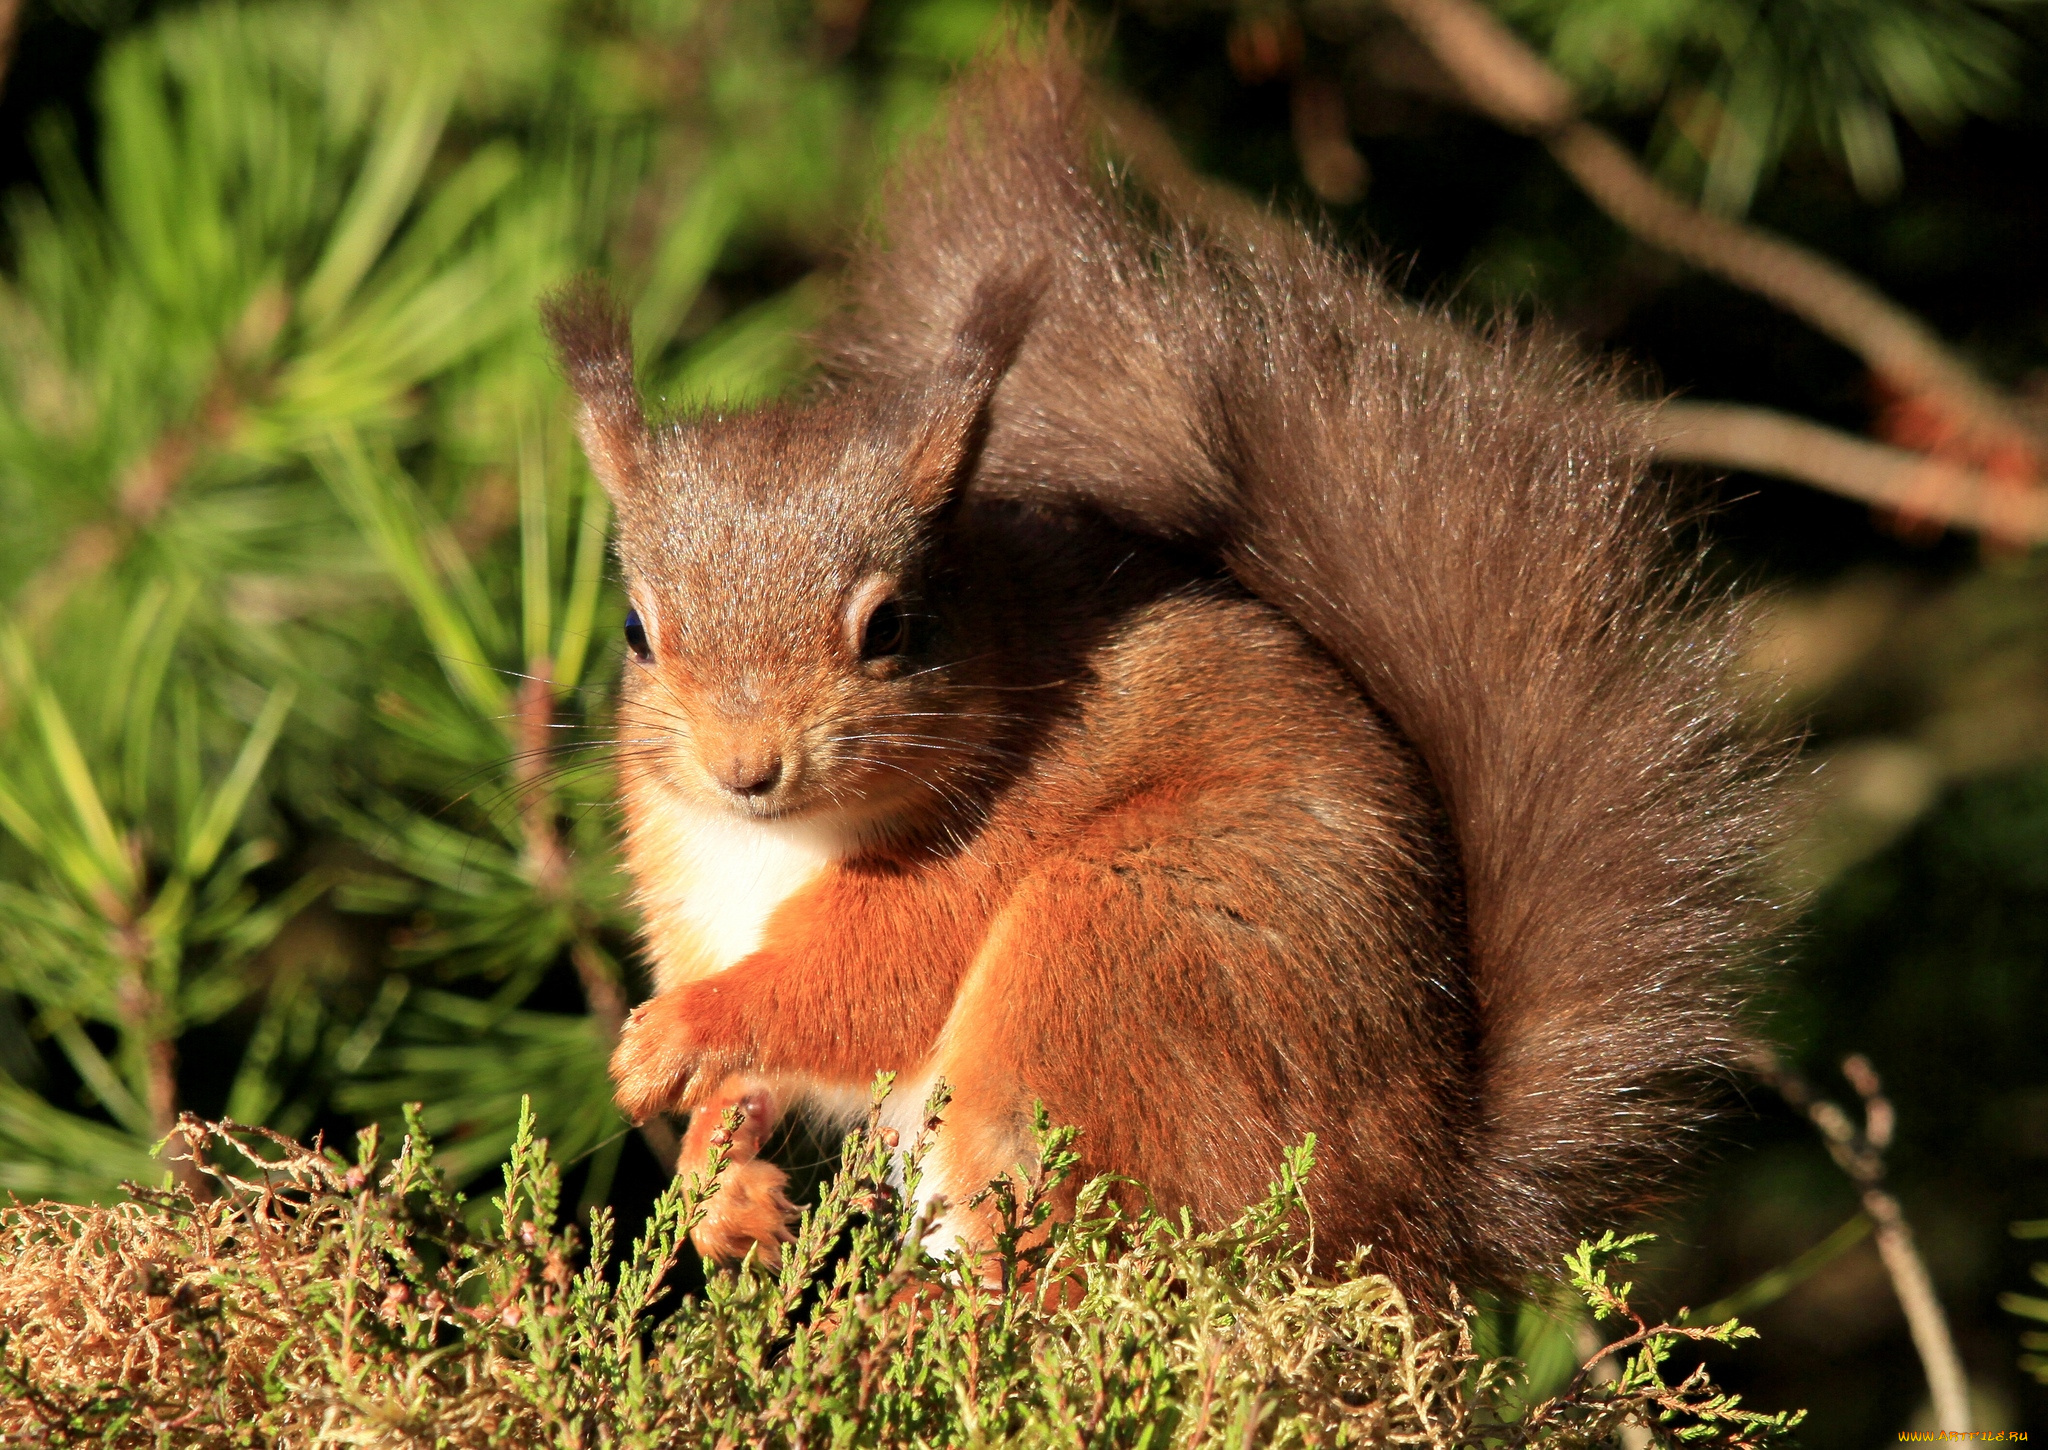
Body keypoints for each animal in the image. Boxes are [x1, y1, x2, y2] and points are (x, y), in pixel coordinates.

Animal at [540, 42, 1777, 1294]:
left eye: (892, 628)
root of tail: (1423, 1197)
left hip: (1122, 958)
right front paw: (719, 1183)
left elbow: (858, 987)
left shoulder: (974, 858)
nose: (745, 768)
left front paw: (674, 1037)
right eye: (636, 629)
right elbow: (759, 1083)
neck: (766, 845)